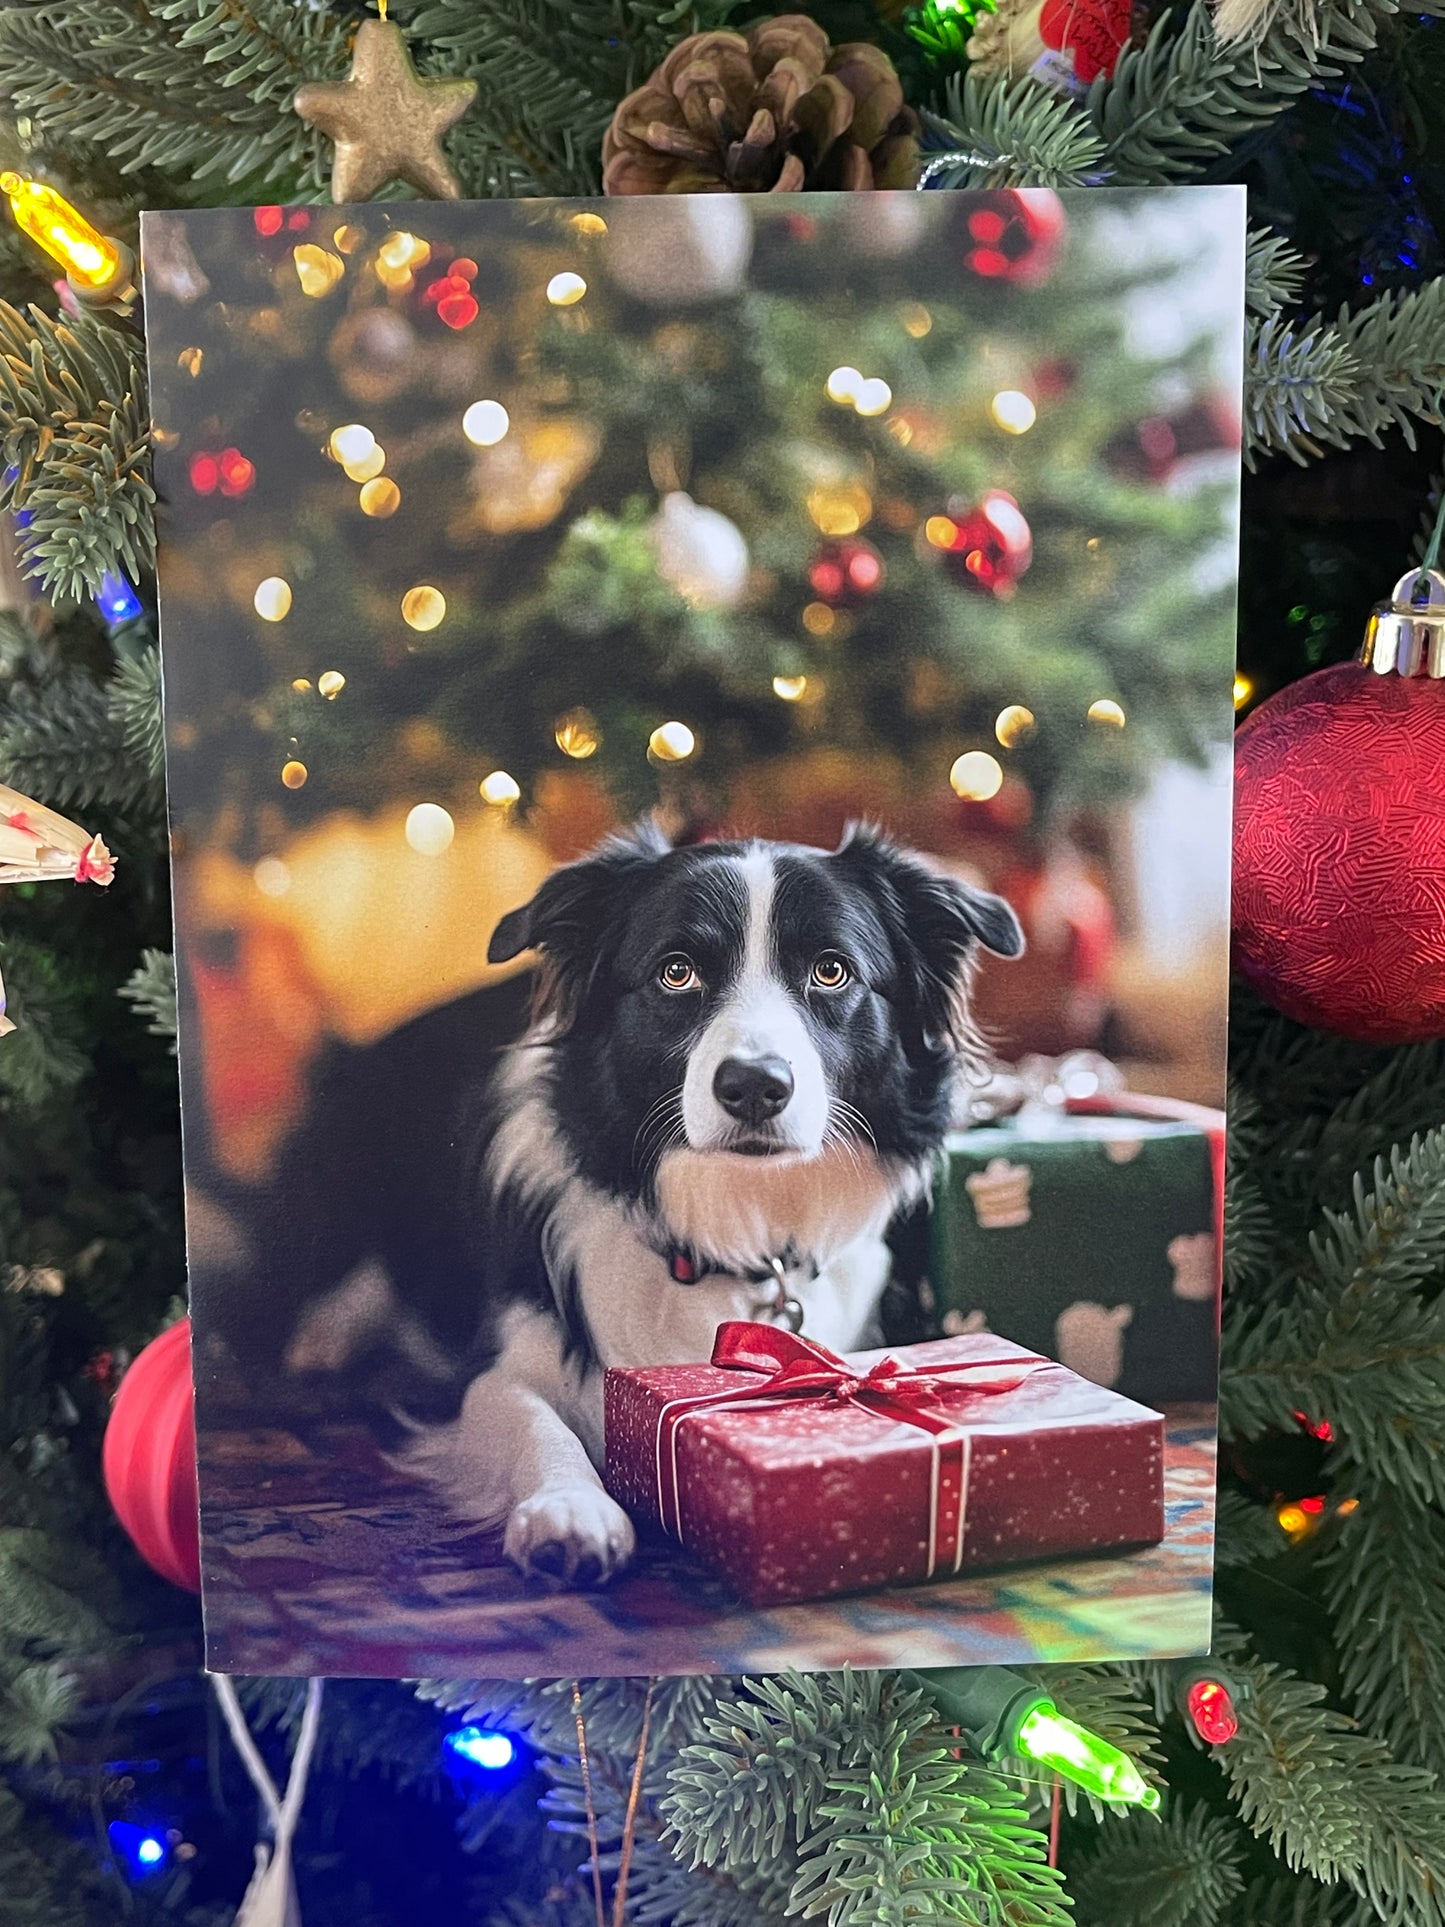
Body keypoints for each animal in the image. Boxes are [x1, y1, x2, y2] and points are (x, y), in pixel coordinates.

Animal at [285, 820, 1032, 1587]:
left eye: (831, 972)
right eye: (678, 972)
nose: (754, 1086)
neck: (733, 1222)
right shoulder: (498, 1363)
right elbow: (530, 1416)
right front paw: (569, 1510)